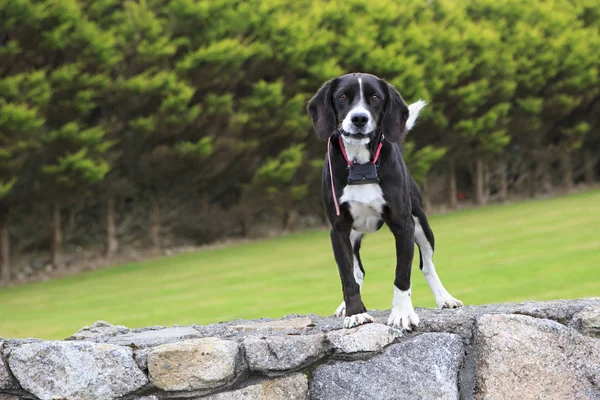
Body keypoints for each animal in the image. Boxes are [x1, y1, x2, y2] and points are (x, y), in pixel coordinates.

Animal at [308, 73, 462, 330]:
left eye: (375, 98)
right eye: (342, 97)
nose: (359, 118)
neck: (361, 166)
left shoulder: (404, 225)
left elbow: (402, 275)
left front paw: (402, 313)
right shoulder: (338, 230)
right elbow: (347, 276)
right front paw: (355, 313)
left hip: (422, 225)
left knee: (427, 265)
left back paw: (444, 297)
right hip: (353, 236)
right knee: (357, 271)